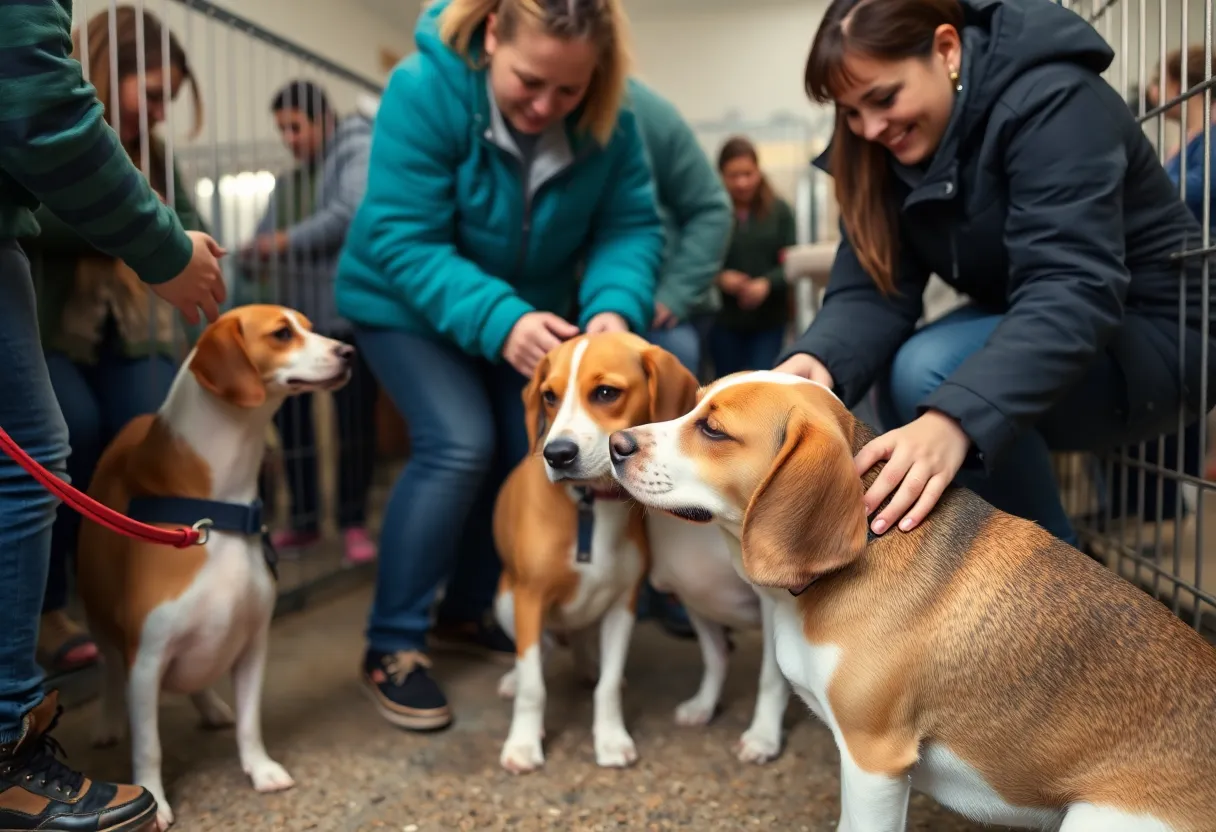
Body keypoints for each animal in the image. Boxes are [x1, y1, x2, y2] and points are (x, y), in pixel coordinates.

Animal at [77, 305, 352, 832]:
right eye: (281, 333)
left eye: (308, 326)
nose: (348, 350)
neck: (218, 511)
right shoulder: (146, 658)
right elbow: (149, 745)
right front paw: (155, 803)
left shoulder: (252, 645)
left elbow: (250, 724)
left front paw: (260, 769)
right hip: (97, 614)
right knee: (108, 670)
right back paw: (105, 722)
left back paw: (209, 706)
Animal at [491, 330, 700, 773]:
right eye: (549, 396)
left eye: (606, 393)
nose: (557, 454)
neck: (589, 503)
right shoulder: (529, 598)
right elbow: (533, 685)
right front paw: (523, 744)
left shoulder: (624, 603)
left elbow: (608, 687)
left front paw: (610, 739)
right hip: (505, 598)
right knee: (542, 650)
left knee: (583, 645)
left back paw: (589, 664)